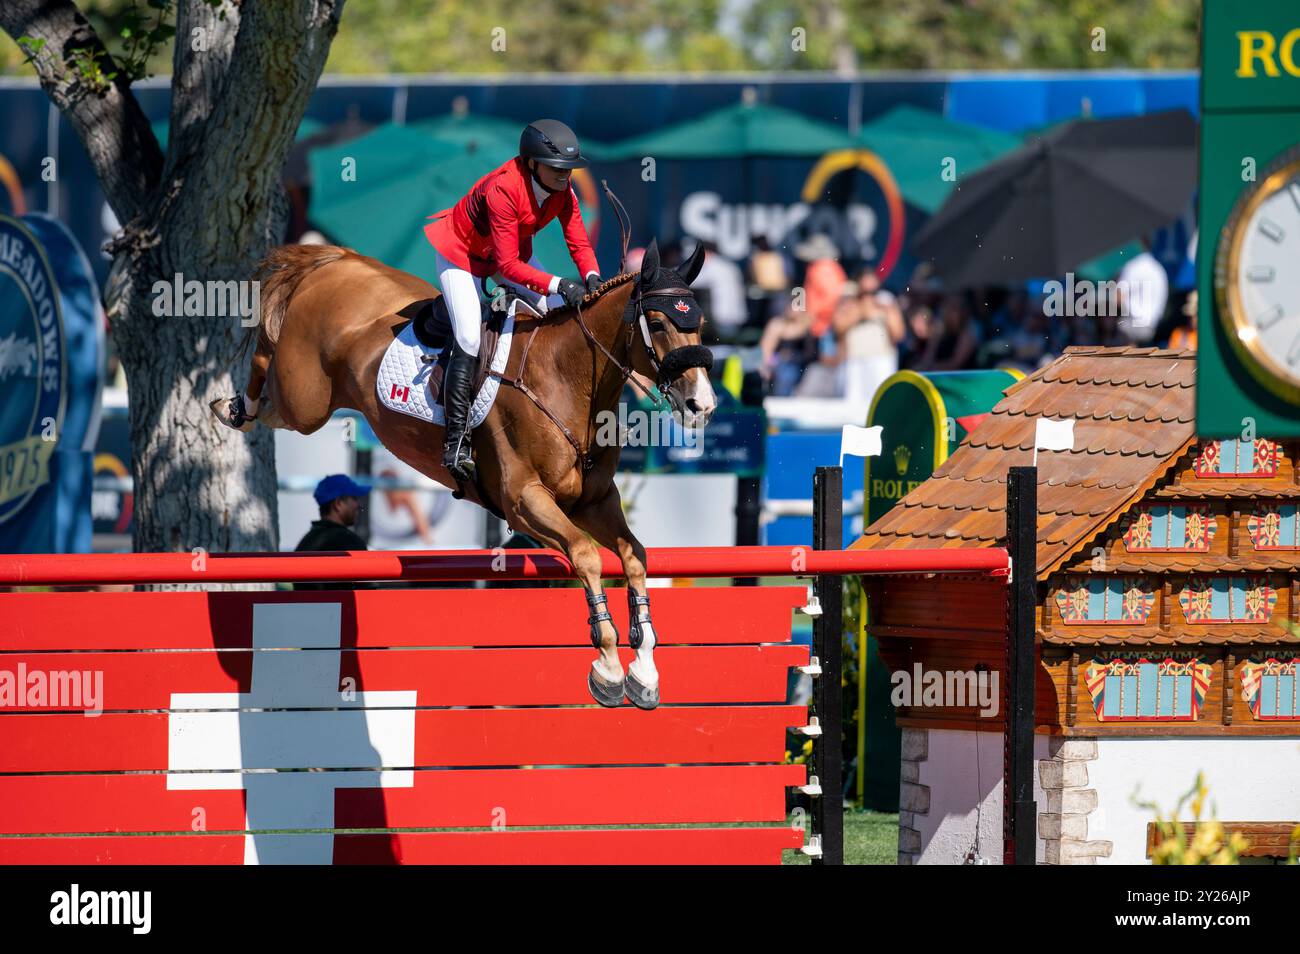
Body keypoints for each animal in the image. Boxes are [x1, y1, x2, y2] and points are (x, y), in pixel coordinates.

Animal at [213, 239, 722, 712]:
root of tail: (339, 260)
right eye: (658, 324)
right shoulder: (523, 501)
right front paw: (609, 668)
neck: (567, 377)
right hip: (305, 400)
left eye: (698, 324)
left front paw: (645, 671)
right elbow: (586, 556)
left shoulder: (593, 503)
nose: (702, 405)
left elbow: (634, 557)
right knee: (267, 364)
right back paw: (231, 405)